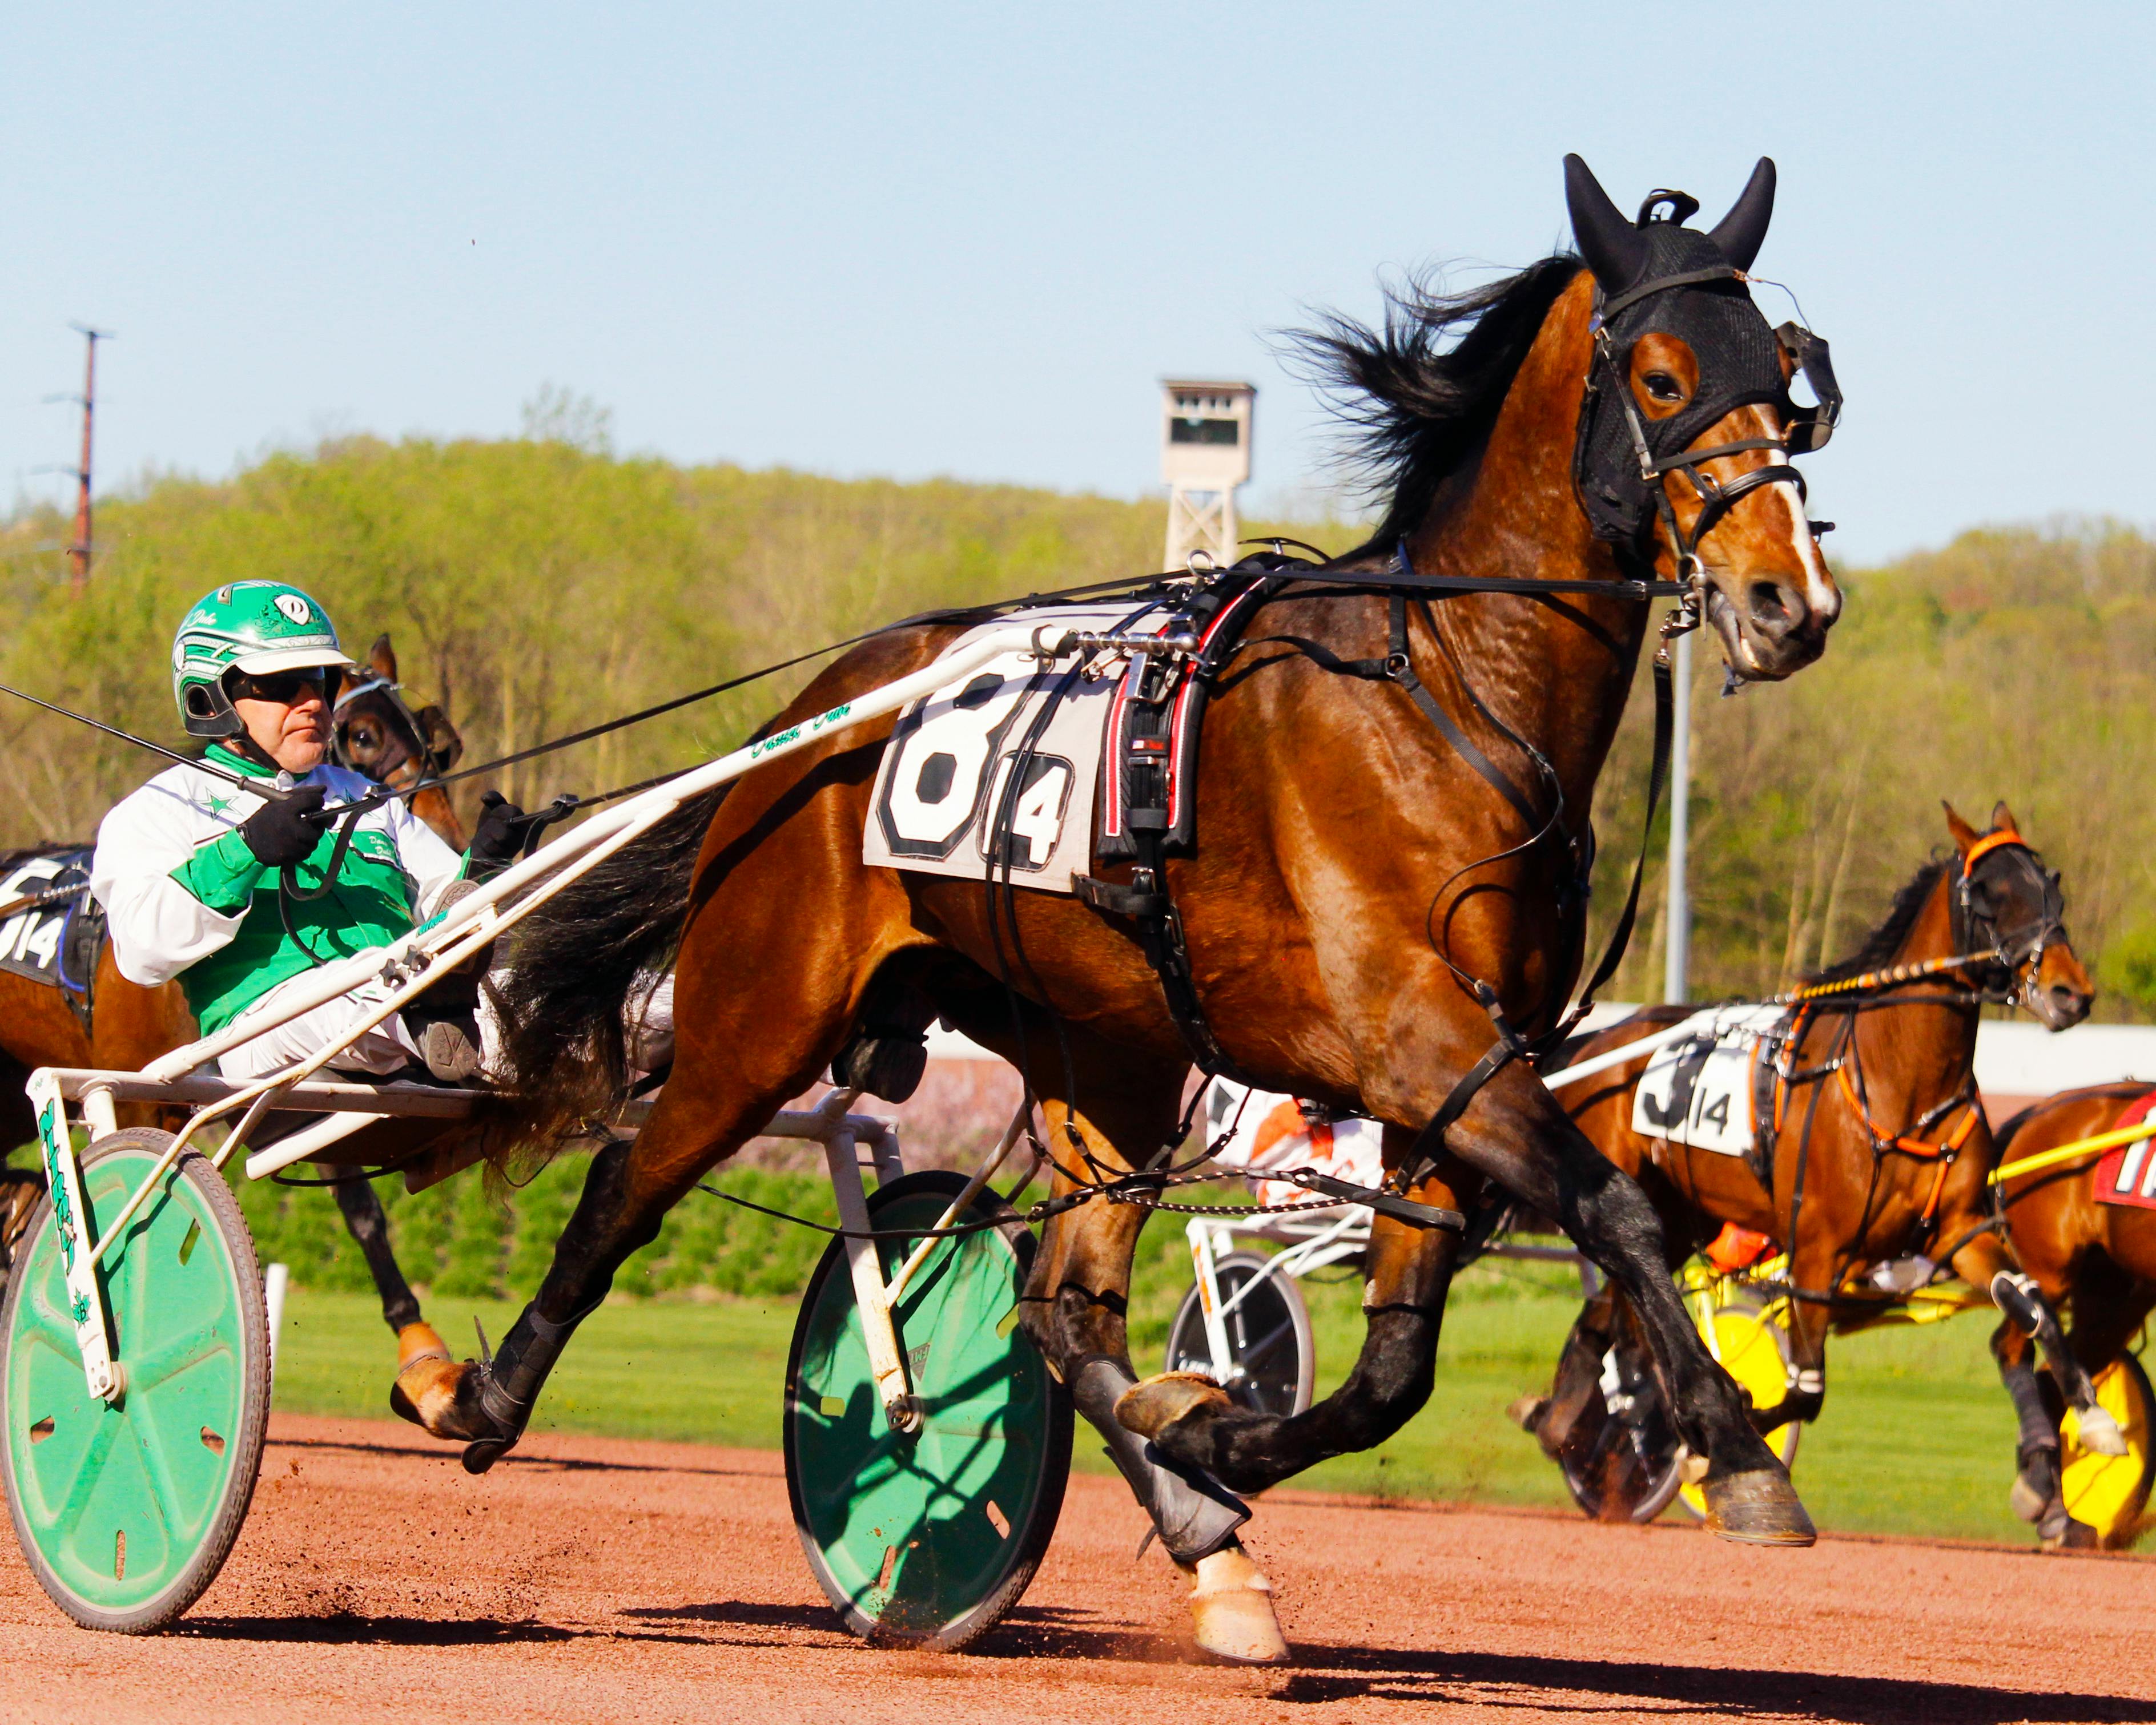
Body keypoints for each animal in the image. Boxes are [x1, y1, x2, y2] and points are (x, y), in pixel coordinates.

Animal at [0, 632, 469, 1381]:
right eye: (362, 735)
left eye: (440, 743)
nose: (454, 843)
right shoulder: (146, 1094)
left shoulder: (296, 1082)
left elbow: (360, 1205)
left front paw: (421, 1351)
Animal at [397, 154, 1846, 1662]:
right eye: (1666, 376)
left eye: (1794, 379)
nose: (1785, 600)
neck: (1443, 695)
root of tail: (801, 726)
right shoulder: (1415, 1042)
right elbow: (1615, 1212)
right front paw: (1740, 1456)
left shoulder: (1458, 1072)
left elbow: (1394, 1364)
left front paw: (1208, 1433)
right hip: (763, 1014)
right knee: (626, 1180)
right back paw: (477, 1392)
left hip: (1114, 1057)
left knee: (1058, 1310)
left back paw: (1208, 1542)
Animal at [1530, 804, 2112, 1541]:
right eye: (1987, 895)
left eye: (2051, 889)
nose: (2071, 993)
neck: (1897, 1084)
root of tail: (1604, 1039)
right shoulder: (1815, 1252)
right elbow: (1804, 1392)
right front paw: (1722, 1446)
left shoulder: (1959, 1231)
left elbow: (2031, 1303)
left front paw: (2093, 1418)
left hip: (1675, 1216)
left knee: (1612, 1314)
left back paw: (1568, 1421)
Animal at [1991, 1079, 2156, 1545]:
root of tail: (2041, 1110)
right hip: (2050, 1270)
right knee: (2015, 1344)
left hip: (2119, 1292)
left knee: (2051, 1380)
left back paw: (2055, 1507)